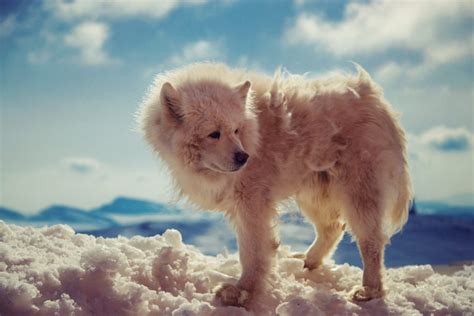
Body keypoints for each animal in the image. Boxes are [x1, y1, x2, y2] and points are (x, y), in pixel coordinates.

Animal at [137, 61, 412, 308]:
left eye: (236, 130)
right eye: (214, 133)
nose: (244, 157)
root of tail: (373, 96)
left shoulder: (252, 202)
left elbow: (253, 251)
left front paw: (241, 292)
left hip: (358, 190)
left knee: (371, 241)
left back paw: (369, 290)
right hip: (314, 192)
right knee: (332, 228)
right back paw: (308, 261)